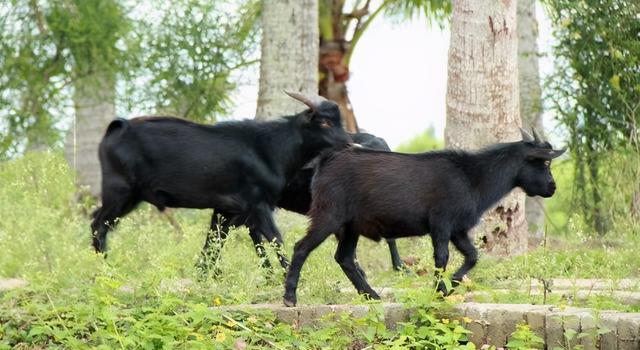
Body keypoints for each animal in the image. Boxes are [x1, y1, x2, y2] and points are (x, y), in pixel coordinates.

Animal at [91, 91, 350, 270]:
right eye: (324, 122)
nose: (348, 142)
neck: (269, 148)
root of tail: (118, 127)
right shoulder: (258, 204)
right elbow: (275, 239)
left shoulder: (227, 210)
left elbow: (214, 244)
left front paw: (204, 276)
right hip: (119, 191)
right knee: (98, 225)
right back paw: (106, 268)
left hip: (130, 197)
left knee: (100, 222)